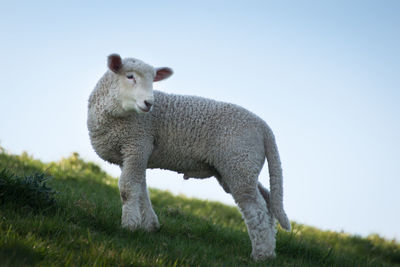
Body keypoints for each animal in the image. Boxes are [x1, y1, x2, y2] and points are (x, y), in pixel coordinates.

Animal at [86, 54, 290, 262]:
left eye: (153, 81)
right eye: (130, 76)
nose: (149, 103)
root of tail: (264, 128)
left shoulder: (137, 143)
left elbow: (128, 188)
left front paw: (129, 225)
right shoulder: (135, 153)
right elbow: (141, 188)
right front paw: (149, 225)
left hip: (238, 162)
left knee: (256, 208)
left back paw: (261, 254)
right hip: (241, 166)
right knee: (267, 201)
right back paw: (270, 250)